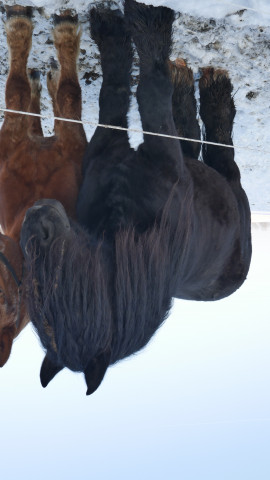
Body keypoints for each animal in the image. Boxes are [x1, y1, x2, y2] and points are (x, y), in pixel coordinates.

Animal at [20, 0, 251, 396]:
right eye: (45, 295)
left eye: (53, 287)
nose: (33, 220)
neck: (121, 222)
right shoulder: (144, 149)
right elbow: (138, 92)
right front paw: (136, 28)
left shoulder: (128, 148)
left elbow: (129, 92)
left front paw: (122, 27)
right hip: (219, 182)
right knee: (208, 144)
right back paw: (201, 89)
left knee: (208, 145)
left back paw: (199, 85)